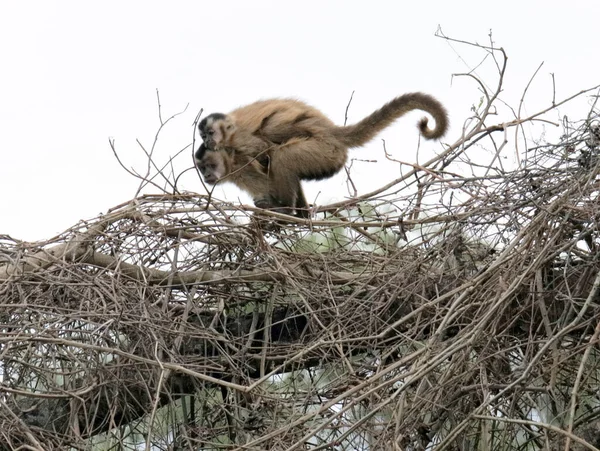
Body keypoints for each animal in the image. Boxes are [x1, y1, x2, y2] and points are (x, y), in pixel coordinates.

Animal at [195, 93, 448, 217]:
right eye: (202, 168)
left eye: (207, 166)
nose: (206, 176)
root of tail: (331, 132)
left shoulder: (241, 156)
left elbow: (265, 156)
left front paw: (274, 209)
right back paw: (301, 214)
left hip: (326, 151)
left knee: (281, 154)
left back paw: (288, 211)